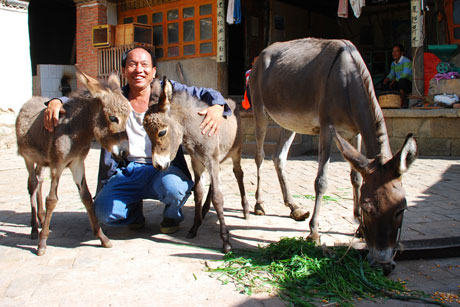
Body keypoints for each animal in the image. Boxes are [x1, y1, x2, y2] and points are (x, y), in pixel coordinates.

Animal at [15, 68, 131, 258]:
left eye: (128, 117)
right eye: (113, 118)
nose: (124, 152)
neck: (75, 131)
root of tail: (31, 99)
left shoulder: (77, 163)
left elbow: (86, 197)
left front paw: (102, 238)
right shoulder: (57, 165)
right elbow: (52, 200)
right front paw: (42, 244)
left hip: (41, 160)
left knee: (39, 182)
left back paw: (41, 219)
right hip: (28, 159)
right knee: (32, 185)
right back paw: (34, 228)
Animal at [144, 78, 250, 254]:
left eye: (162, 132)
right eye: (146, 133)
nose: (158, 165)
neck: (195, 130)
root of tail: (230, 100)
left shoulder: (211, 160)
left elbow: (218, 197)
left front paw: (226, 241)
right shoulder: (197, 163)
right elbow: (199, 193)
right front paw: (194, 228)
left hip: (236, 152)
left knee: (238, 174)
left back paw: (246, 209)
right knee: (215, 184)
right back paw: (205, 211)